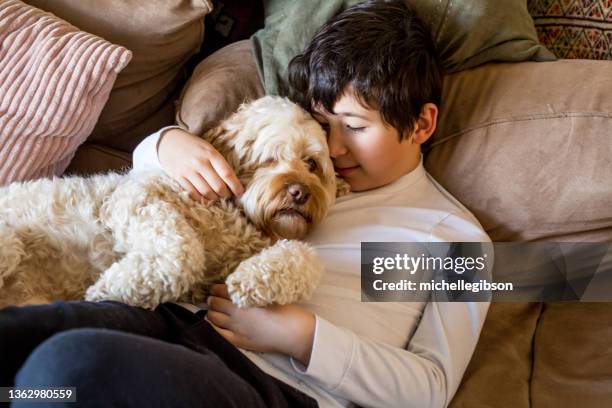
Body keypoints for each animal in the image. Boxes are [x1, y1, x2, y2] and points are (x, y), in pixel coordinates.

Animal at [0, 97, 346, 310]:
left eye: (311, 163)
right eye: (270, 158)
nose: (300, 192)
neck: (232, 215)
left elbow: (306, 257)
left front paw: (249, 280)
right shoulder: (135, 198)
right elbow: (183, 253)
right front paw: (114, 287)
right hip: (9, 243)